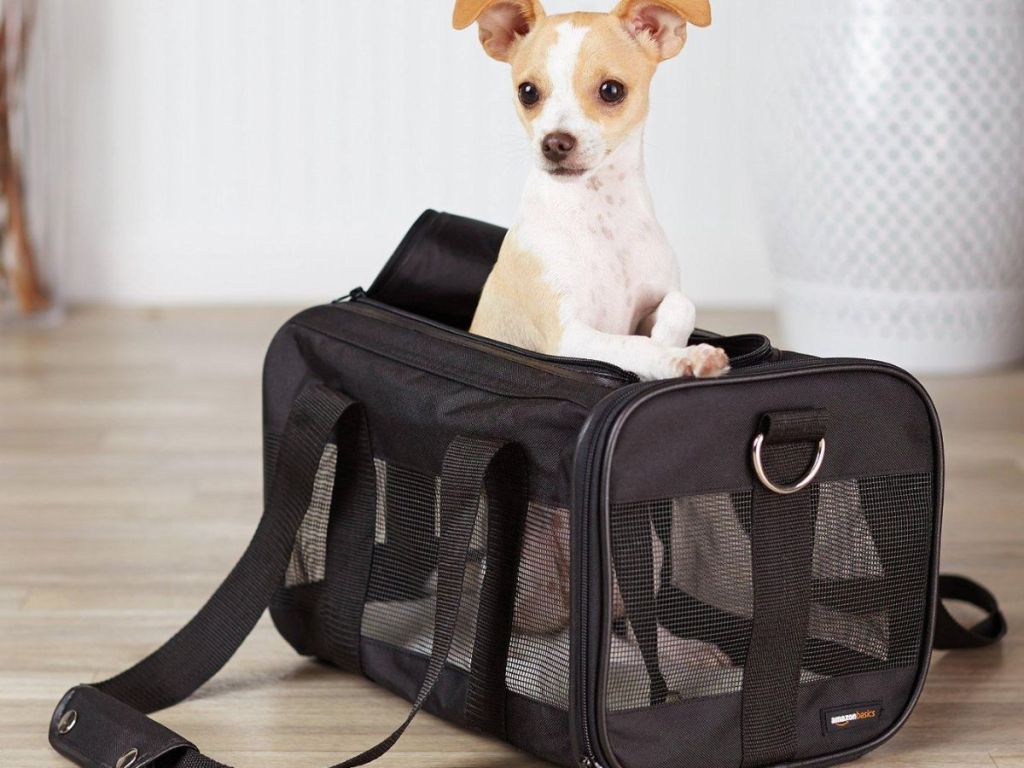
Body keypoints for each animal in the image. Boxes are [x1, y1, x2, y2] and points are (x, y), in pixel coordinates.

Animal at [454, 0, 729, 382]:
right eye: (528, 92)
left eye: (611, 90)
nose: (554, 143)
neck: (602, 215)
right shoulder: (569, 338)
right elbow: (635, 345)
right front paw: (680, 358)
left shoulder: (650, 305)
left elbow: (680, 303)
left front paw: (670, 340)